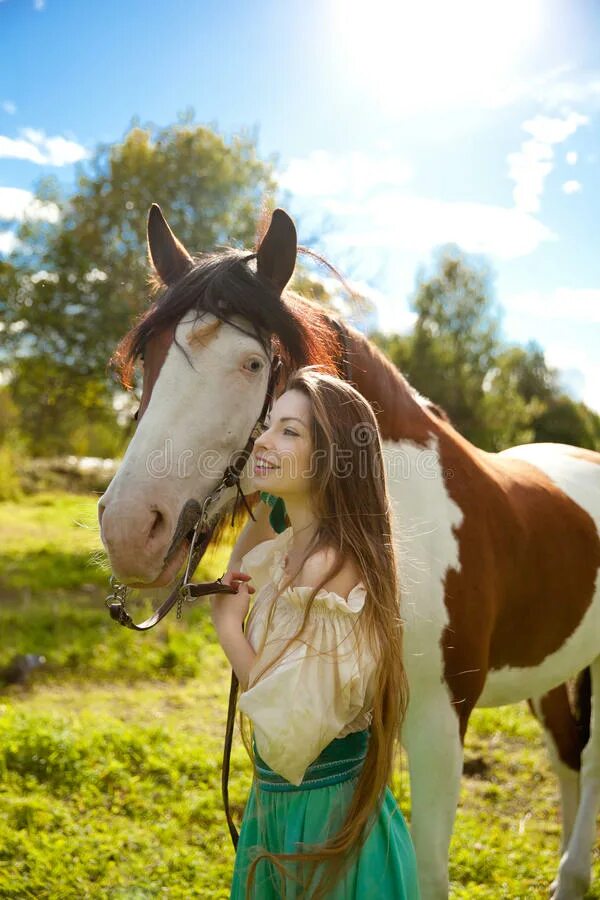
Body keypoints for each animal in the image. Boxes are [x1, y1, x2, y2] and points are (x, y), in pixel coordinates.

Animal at [99, 206, 600, 900]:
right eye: (147, 355)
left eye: (251, 363)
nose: (128, 528)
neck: (399, 519)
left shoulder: (440, 723)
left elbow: (428, 872)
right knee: (565, 758)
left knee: (592, 760)